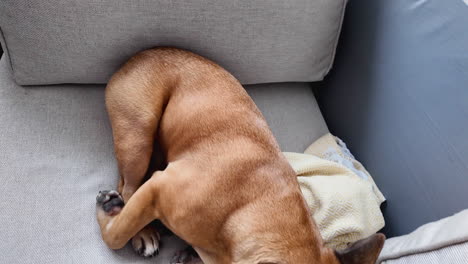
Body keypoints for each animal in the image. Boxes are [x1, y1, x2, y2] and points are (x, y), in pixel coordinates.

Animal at [95, 48, 384, 264]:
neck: (243, 209)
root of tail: (135, 58)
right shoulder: (158, 187)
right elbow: (116, 236)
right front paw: (112, 216)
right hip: (139, 133)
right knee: (129, 186)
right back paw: (138, 227)